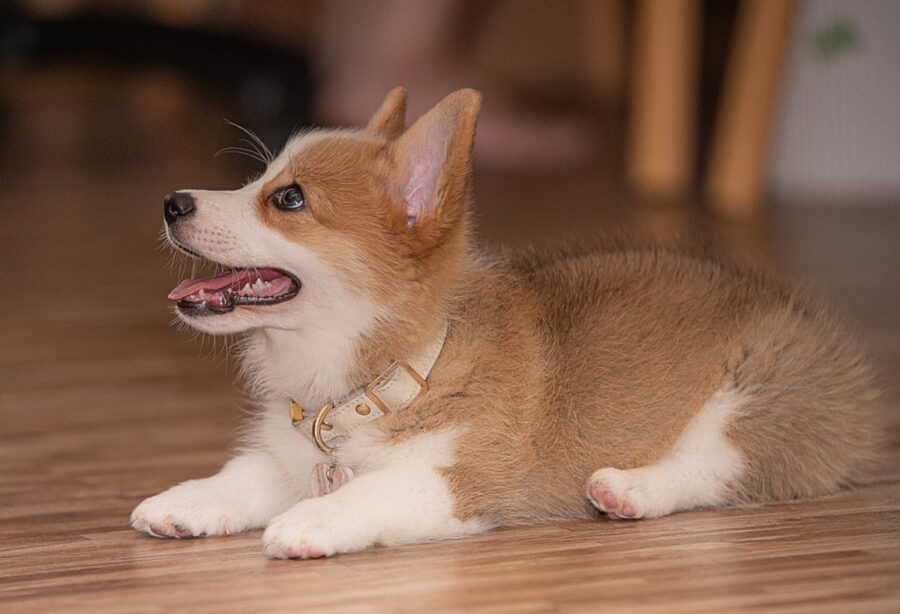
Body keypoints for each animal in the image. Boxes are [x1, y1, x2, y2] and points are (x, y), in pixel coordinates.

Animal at [130, 88, 884, 564]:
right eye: (259, 180)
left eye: (289, 199)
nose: (172, 202)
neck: (387, 375)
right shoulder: (288, 457)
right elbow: (243, 476)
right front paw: (183, 502)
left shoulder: (464, 478)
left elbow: (373, 489)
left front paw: (310, 521)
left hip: (758, 396)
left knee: (719, 464)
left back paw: (627, 489)